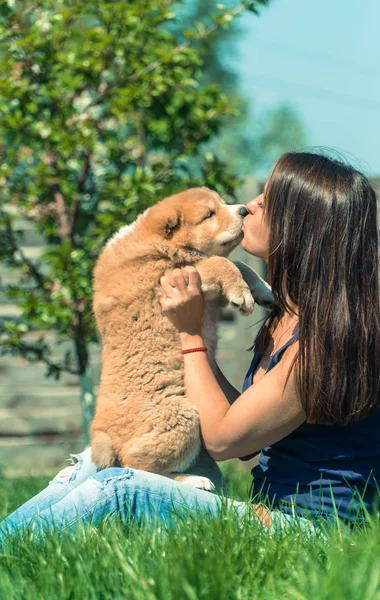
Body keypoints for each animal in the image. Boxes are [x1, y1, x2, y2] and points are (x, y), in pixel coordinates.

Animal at [90, 188, 272, 492]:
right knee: (138, 465)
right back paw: (195, 480)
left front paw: (263, 289)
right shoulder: (179, 276)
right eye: (209, 214)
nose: (244, 211)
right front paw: (242, 294)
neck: (157, 247)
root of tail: (102, 437)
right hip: (180, 416)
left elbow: (239, 263)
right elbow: (222, 262)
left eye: (222, 203)